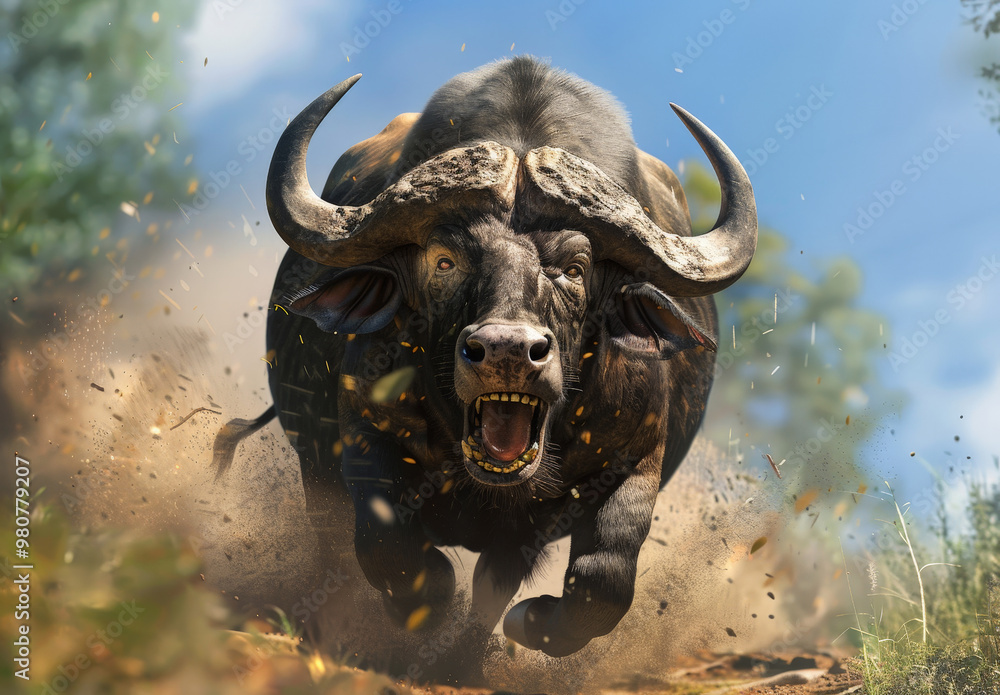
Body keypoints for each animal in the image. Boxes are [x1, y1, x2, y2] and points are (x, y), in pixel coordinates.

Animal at [214, 56, 756, 658]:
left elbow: (603, 580)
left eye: (574, 268)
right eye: (445, 261)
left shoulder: (634, 456)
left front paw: (527, 623)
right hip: (313, 462)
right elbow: (388, 548)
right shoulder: (364, 433)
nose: (508, 350)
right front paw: (423, 612)